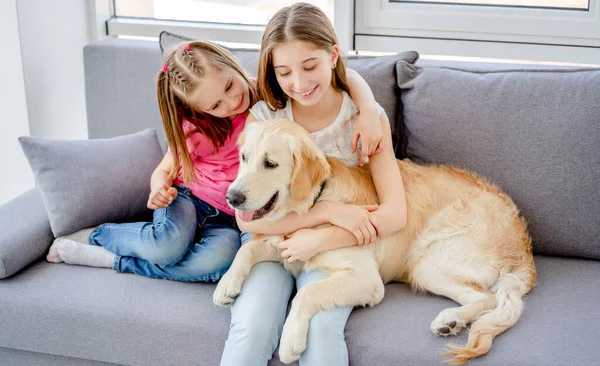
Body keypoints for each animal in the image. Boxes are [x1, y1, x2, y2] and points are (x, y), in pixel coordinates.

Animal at [213, 119, 536, 364]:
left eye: (270, 163)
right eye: (243, 157)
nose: (232, 197)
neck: (314, 203)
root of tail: (523, 242)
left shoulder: (367, 280)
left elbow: (307, 292)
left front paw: (291, 340)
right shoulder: (283, 244)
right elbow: (247, 248)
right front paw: (226, 285)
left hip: (427, 262)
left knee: (487, 297)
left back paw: (450, 318)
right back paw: (451, 321)